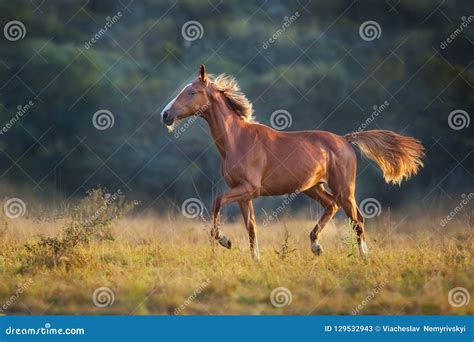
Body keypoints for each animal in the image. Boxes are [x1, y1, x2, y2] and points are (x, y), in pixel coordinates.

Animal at [161, 65, 424, 260]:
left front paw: (225, 241)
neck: (237, 141)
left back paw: (362, 256)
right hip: (312, 188)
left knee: (357, 218)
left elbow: (217, 202)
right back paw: (316, 246)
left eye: (192, 92)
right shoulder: (244, 194)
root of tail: (344, 139)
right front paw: (255, 259)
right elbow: (251, 227)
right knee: (332, 207)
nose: (165, 115)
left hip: (344, 188)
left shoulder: (249, 189)